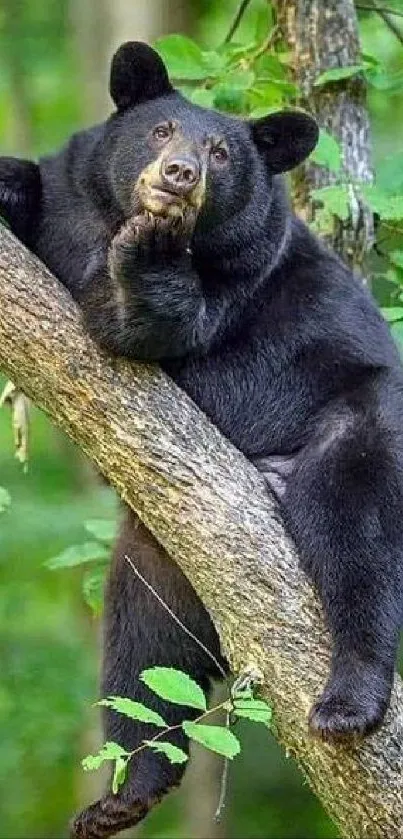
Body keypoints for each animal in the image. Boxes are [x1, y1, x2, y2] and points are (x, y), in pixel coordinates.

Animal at [0, 41, 403, 839]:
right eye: (160, 130)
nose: (179, 173)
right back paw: (126, 792)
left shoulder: (238, 279)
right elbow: (37, 190)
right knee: (141, 652)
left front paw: (151, 261)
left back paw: (350, 698)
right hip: (156, 553)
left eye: (220, 152)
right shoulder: (67, 205)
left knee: (358, 539)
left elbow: (151, 325)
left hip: (361, 426)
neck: (108, 227)